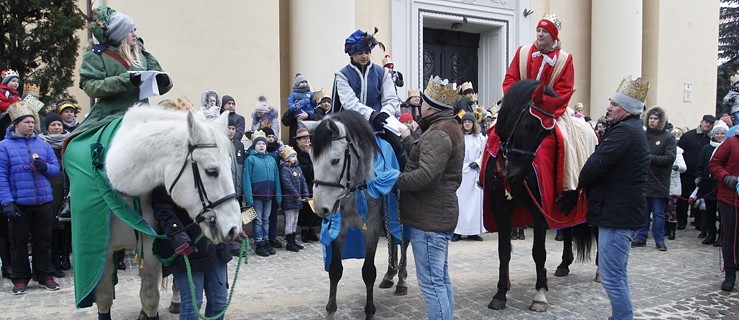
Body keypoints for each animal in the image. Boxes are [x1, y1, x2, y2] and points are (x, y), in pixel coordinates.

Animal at [72, 106, 241, 318]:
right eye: (212, 171)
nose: (234, 229)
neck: (116, 182)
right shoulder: (100, 253)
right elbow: (104, 299)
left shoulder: (151, 250)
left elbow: (150, 298)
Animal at [486, 80, 596, 312]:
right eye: (526, 125)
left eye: (546, 134)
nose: (515, 175)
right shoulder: (501, 209)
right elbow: (504, 251)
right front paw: (500, 293)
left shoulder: (539, 211)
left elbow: (538, 252)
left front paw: (540, 294)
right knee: (567, 228)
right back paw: (564, 264)